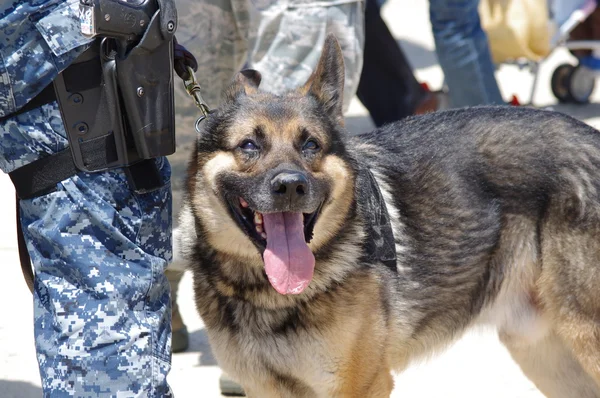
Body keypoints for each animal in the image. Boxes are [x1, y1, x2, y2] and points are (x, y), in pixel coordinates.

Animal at [177, 35, 600, 398]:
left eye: (310, 144)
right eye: (249, 145)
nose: (291, 186)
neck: (265, 295)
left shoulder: (359, 386)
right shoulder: (264, 388)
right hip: (544, 354)